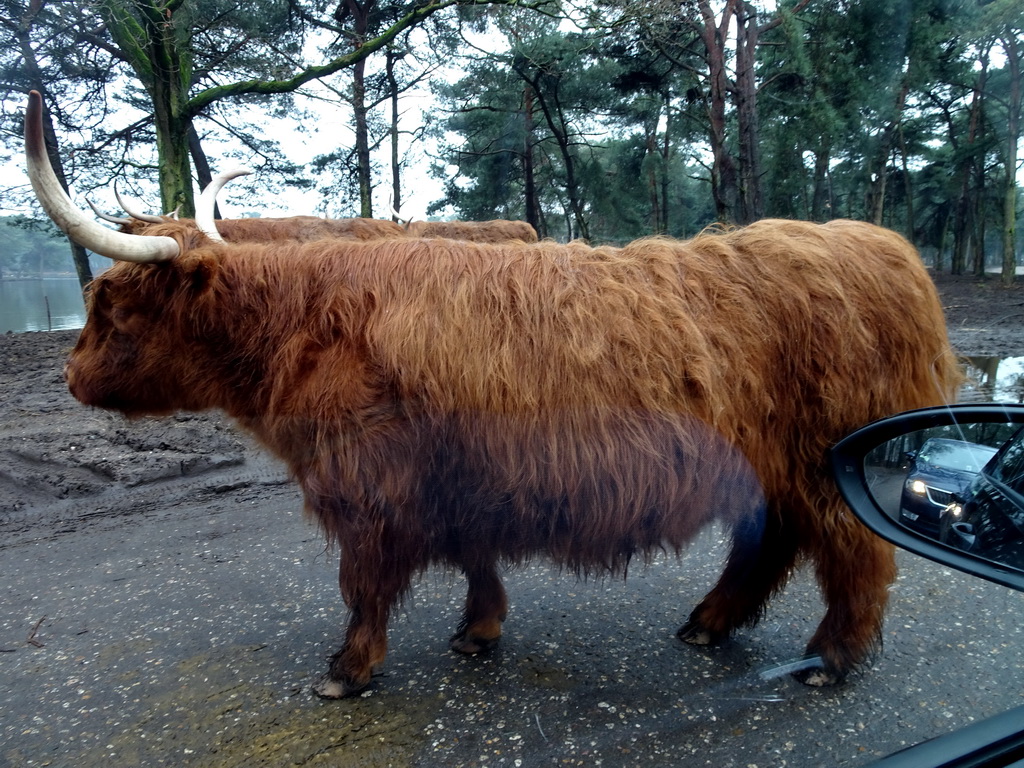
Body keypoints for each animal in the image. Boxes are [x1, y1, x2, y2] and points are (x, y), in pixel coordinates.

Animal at [25, 90, 966, 696]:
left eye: (110, 304)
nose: (67, 376)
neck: (302, 324)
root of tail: (880, 246)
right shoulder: (457, 475)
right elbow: (471, 556)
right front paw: (478, 632)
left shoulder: (368, 486)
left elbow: (363, 581)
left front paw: (347, 672)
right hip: (773, 466)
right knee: (769, 545)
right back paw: (708, 623)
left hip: (826, 464)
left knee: (853, 553)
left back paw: (831, 661)